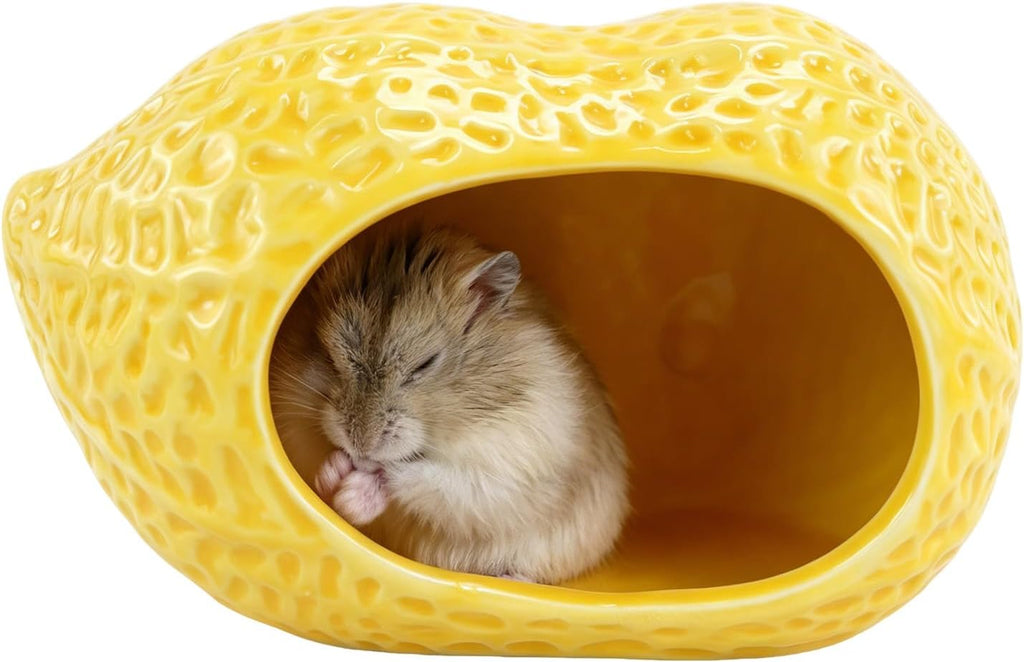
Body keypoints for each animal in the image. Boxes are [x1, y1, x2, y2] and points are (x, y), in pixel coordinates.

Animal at [269, 224, 629, 584]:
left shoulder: (514, 466)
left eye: (425, 364)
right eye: (329, 355)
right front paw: (333, 475)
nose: (361, 447)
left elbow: (424, 478)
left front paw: (349, 496)